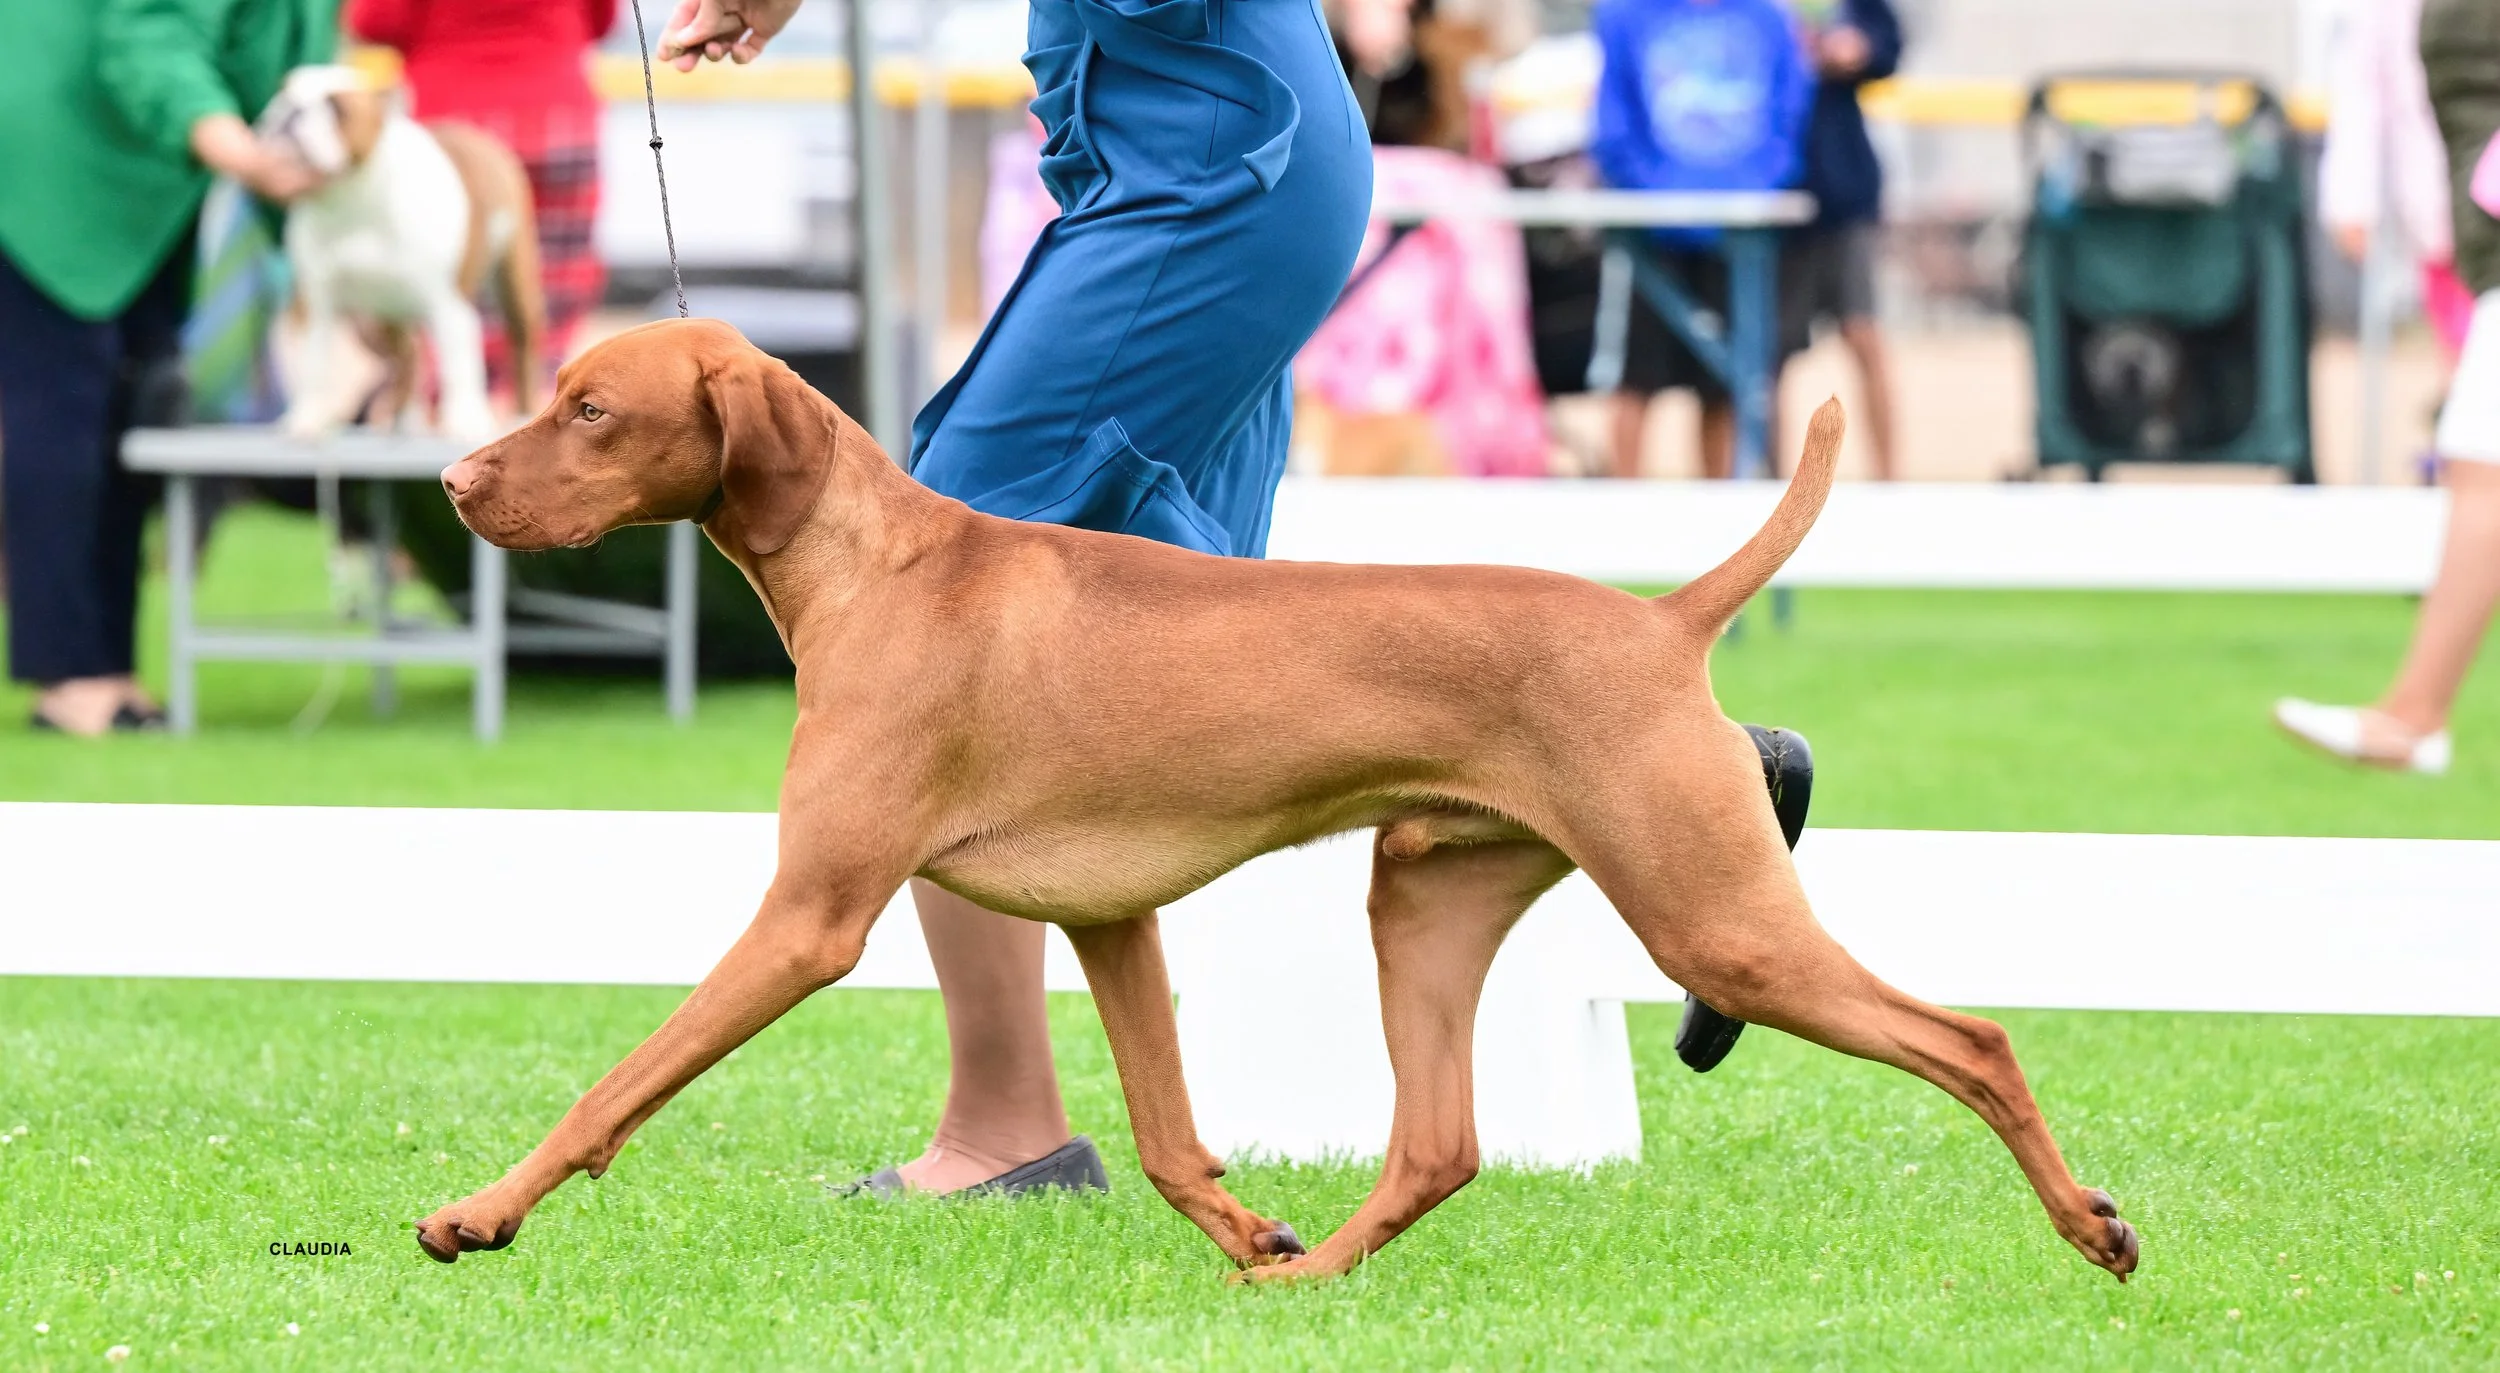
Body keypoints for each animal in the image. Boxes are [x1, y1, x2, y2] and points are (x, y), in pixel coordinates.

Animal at [258, 66, 545, 443]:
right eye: (283, 92)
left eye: (337, 107)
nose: (291, 109)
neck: (349, 195)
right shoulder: (318, 304)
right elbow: (315, 364)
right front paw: (309, 418)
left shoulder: (448, 303)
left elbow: (458, 364)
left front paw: (465, 420)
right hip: (383, 318)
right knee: (407, 356)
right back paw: (403, 419)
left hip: (513, 279)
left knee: (520, 342)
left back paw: (523, 413)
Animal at [418, 319, 2140, 1284]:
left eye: (589, 407)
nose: (449, 483)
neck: (881, 564)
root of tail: (1664, 621)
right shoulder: (1110, 918)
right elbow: (1172, 1136)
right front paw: (1246, 1230)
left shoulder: (809, 918)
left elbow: (614, 1085)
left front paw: (479, 1214)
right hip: (1427, 899)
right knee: (1439, 1144)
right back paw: (1304, 1287)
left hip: (1714, 923)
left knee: (1973, 1039)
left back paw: (2091, 1228)